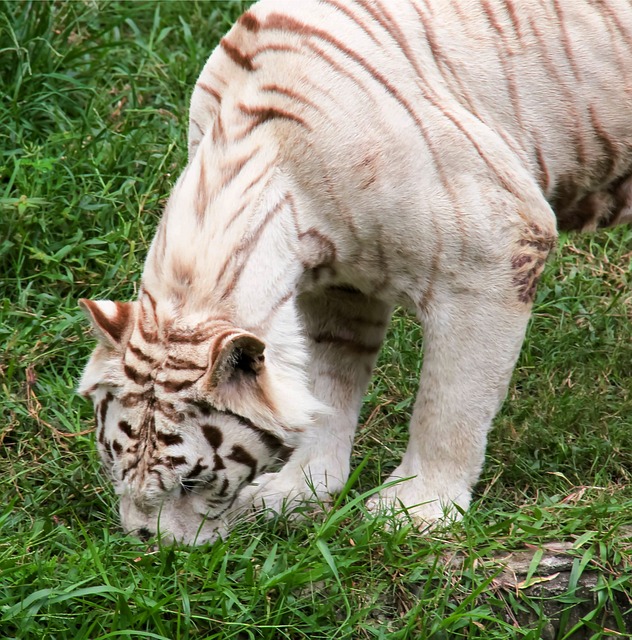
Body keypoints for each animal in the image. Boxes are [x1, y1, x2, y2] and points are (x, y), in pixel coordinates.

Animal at [79, 0, 632, 544]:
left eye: (191, 480)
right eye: (112, 459)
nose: (148, 545)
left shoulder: (494, 253)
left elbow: (450, 403)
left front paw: (415, 511)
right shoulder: (338, 287)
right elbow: (328, 386)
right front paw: (300, 491)